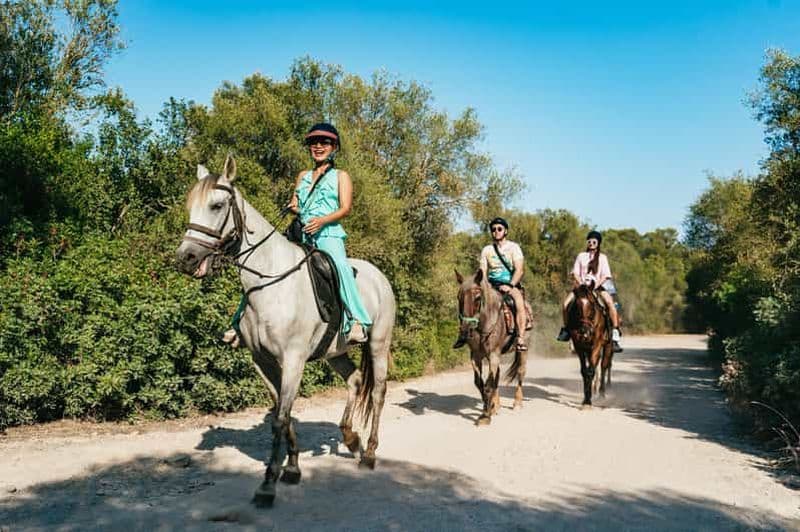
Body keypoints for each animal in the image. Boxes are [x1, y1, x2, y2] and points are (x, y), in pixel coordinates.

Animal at [175, 155, 396, 507]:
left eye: (217, 205)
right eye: (190, 206)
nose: (186, 258)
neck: (270, 282)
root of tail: (380, 277)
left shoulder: (293, 360)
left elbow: (281, 417)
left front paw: (268, 484)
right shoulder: (263, 361)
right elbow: (284, 412)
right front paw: (291, 469)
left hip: (378, 344)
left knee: (377, 392)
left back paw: (370, 453)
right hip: (335, 352)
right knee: (354, 381)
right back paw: (350, 439)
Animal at [455, 269, 529, 425]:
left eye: (477, 297)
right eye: (459, 297)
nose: (465, 330)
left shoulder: (493, 355)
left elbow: (488, 386)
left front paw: (485, 416)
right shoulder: (475, 356)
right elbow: (480, 383)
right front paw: (489, 407)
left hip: (523, 349)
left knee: (521, 371)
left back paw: (517, 402)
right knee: (497, 377)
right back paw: (497, 405)